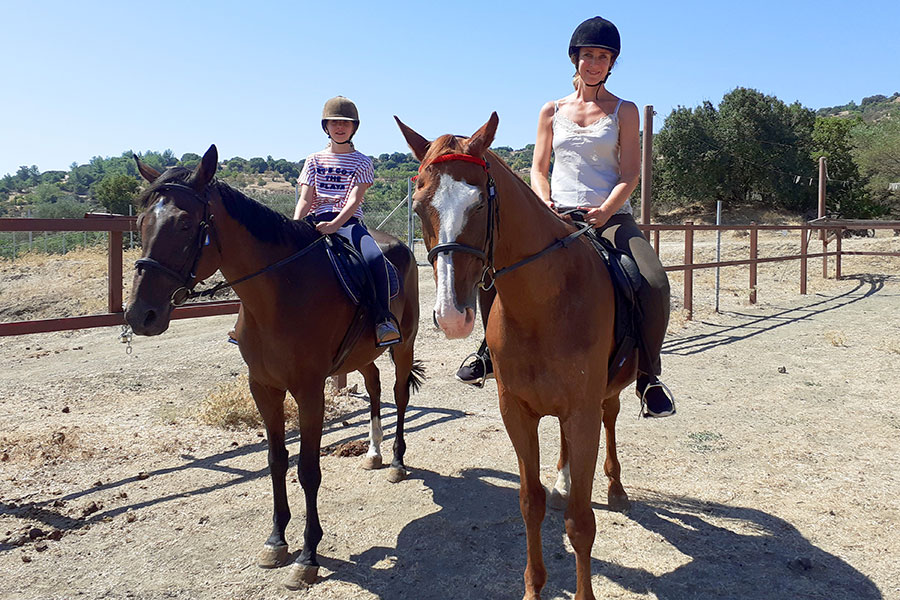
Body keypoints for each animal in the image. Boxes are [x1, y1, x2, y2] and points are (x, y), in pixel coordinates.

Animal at [125, 144, 422, 589]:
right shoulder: (263, 387)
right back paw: (373, 452)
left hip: (402, 345)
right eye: (141, 222)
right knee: (373, 387)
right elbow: (276, 461)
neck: (280, 293)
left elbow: (308, 470)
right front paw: (276, 541)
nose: (140, 314)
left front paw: (307, 556)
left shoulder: (309, 390)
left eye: (184, 223)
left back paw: (398, 462)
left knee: (400, 395)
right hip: (363, 353)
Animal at [396, 114, 637, 600]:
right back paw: (564, 478)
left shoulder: (582, 411)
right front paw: (533, 587)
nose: (451, 316)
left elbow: (580, 522)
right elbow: (530, 503)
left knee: (612, 416)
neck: (545, 304)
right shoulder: (516, 411)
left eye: (480, 205)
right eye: (420, 207)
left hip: (604, 397)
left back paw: (616, 486)